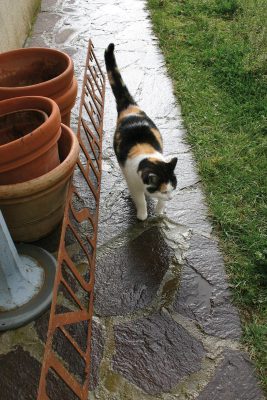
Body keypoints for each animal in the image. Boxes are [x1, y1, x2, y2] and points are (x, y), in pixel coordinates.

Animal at [104, 43, 178, 222]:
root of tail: (129, 107)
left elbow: (160, 204)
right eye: (164, 190)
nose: (171, 198)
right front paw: (143, 215)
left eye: (173, 187)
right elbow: (140, 200)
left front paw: (159, 212)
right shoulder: (133, 184)